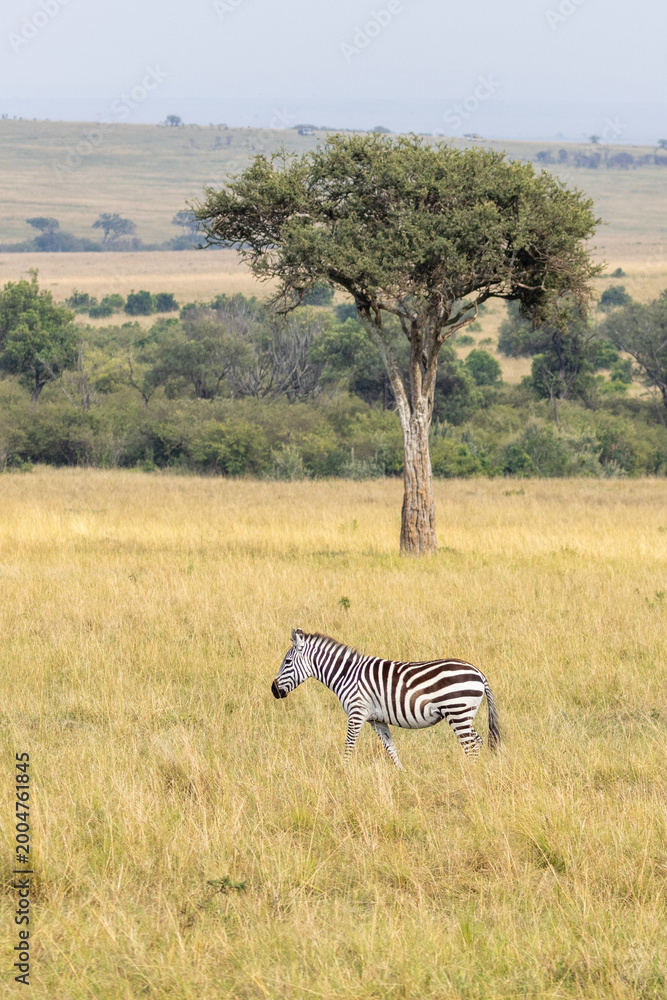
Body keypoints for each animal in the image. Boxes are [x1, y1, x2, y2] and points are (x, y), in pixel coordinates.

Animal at [271, 628, 500, 768]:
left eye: (287, 661)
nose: (273, 690)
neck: (346, 674)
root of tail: (478, 673)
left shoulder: (357, 713)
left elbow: (348, 746)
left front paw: (343, 773)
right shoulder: (376, 719)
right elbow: (390, 749)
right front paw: (402, 774)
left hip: (457, 712)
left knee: (470, 746)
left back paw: (468, 776)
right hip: (462, 715)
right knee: (478, 742)